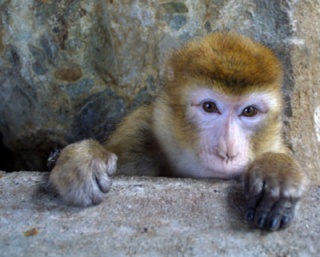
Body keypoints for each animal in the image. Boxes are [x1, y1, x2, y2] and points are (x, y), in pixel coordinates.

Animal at [49, 31, 308, 230]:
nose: (228, 151)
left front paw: (276, 169)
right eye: (209, 107)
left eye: (249, 111)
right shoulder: (136, 135)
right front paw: (84, 157)